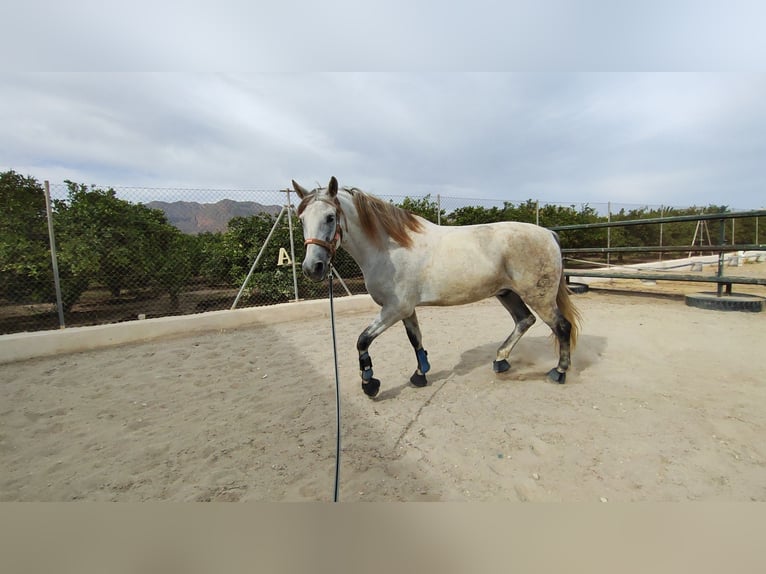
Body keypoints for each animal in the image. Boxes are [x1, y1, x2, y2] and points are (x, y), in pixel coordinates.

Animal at [294, 178, 584, 398]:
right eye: (301, 220)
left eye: (330, 217)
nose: (312, 268)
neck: (390, 249)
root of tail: (549, 234)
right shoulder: (405, 310)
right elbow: (415, 340)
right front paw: (420, 374)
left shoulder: (394, 309)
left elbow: (362, 340)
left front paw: (369, 382)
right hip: (507, 293)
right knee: (524, 321)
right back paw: (501, 360)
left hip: (539, 296)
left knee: (561, 327)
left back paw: (559, 372)